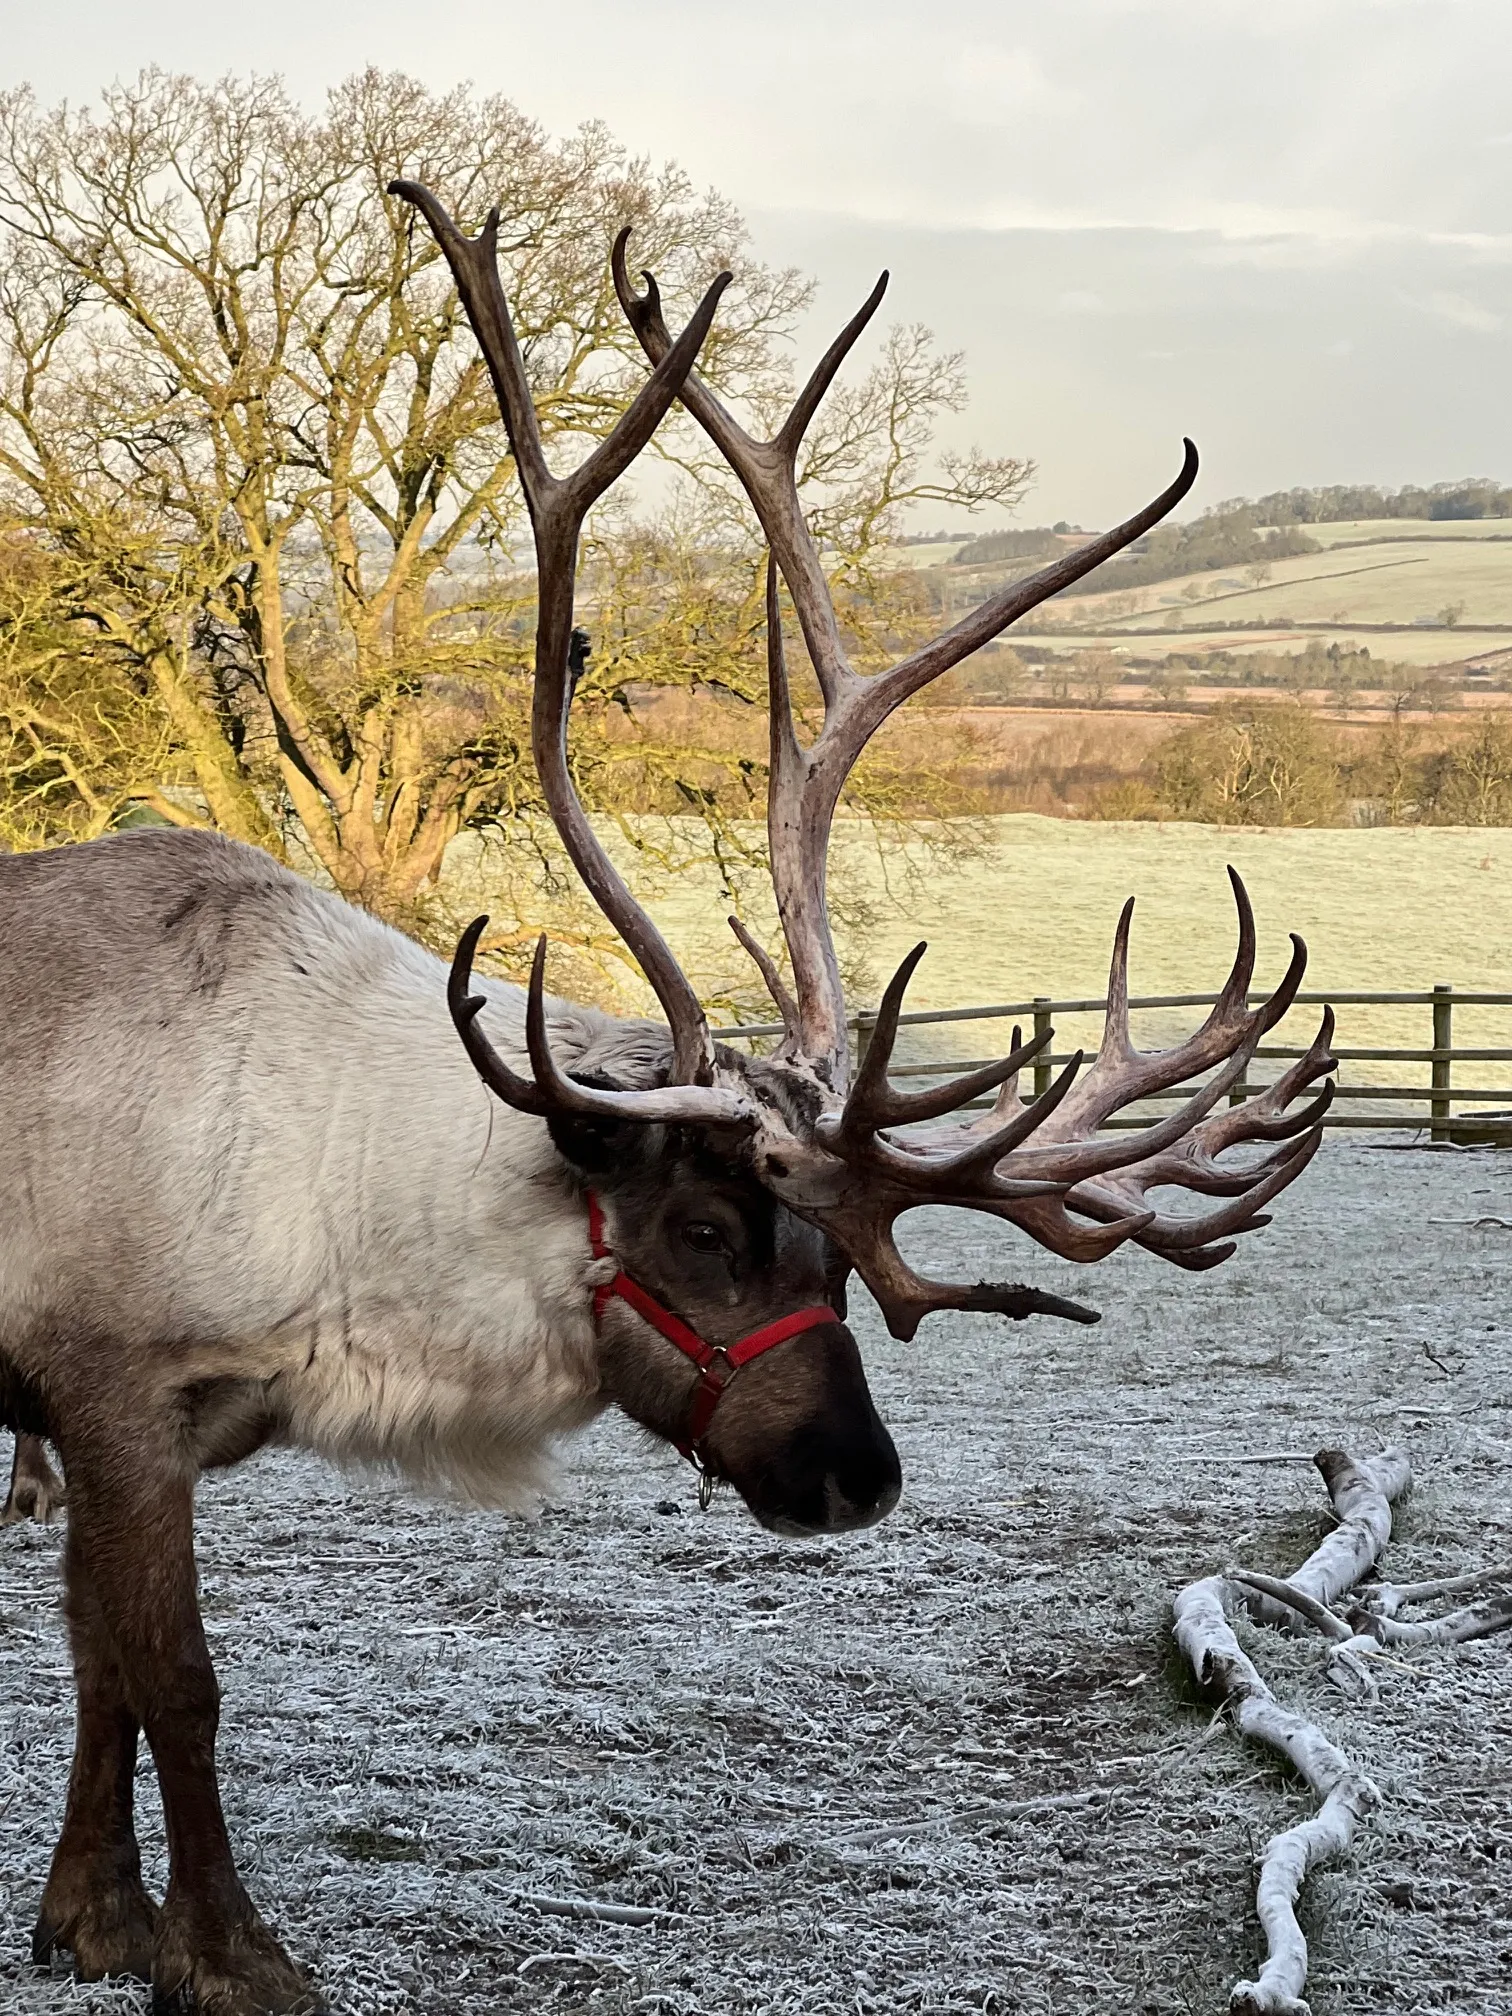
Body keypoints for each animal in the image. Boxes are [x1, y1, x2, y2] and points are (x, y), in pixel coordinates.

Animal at [0, 176, 1338, 2016]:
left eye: (836, 1259)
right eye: (702, 1228)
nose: (860, 1477)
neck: (335, 1202)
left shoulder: (116, 1430)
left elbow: (101, 1670)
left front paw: (87, 1917)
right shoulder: (115, 1392)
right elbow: (175, 1676)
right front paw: (225, 1956)